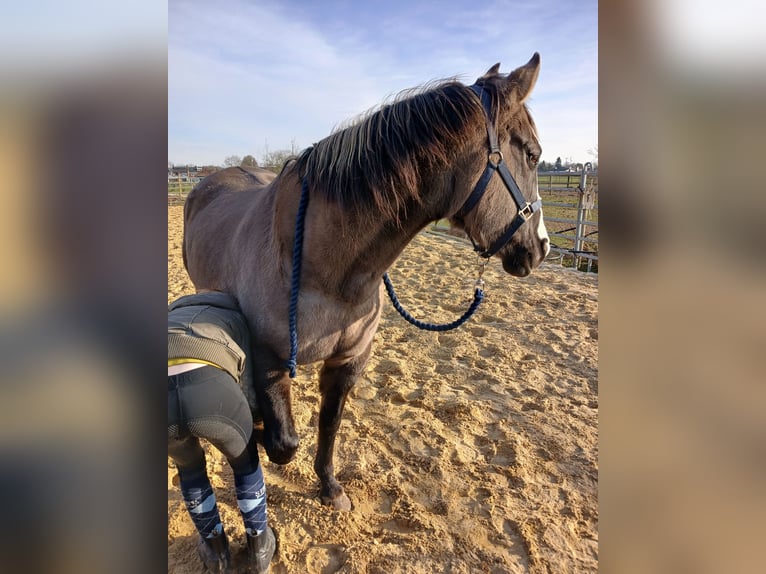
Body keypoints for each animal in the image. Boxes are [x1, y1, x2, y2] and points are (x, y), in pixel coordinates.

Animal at [183, 54, 550, 511]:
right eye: (532, 155)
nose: (542, 247)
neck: (326, 268)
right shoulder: (269, 359)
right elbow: (283, 443)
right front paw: (261, 427)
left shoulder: (349, 360)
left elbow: (329, 425)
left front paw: (329, 487)